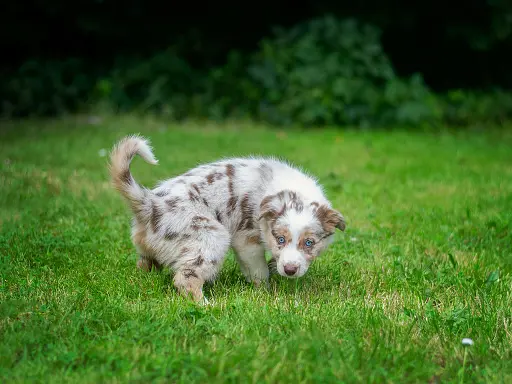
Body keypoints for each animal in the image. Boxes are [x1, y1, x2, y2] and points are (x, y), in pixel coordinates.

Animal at [109, 135, 346, 304]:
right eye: (280, 239)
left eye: (309, 243)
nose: (290, 270)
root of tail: (150, 202)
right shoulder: (246, 240)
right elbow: (258, 270)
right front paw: (266, 293)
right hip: (211, 237)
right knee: (186, 278)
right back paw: (207, 305)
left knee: (145, 264)